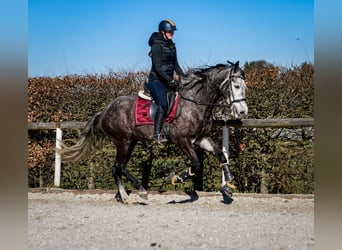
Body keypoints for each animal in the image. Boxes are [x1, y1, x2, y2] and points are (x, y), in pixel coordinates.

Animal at [60, 60, 248, 203]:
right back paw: (139, 191)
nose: (242, 111)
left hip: (131, 141)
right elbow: (196, 164)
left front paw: (228, 184)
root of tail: (104, 112)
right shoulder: (182, 140)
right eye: (236, 86)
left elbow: (221, 155)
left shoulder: (201, 138)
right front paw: (174, 179)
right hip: (124, 141)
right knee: (119, 166)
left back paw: (124, 195)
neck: (195, 102)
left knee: (117, 168)